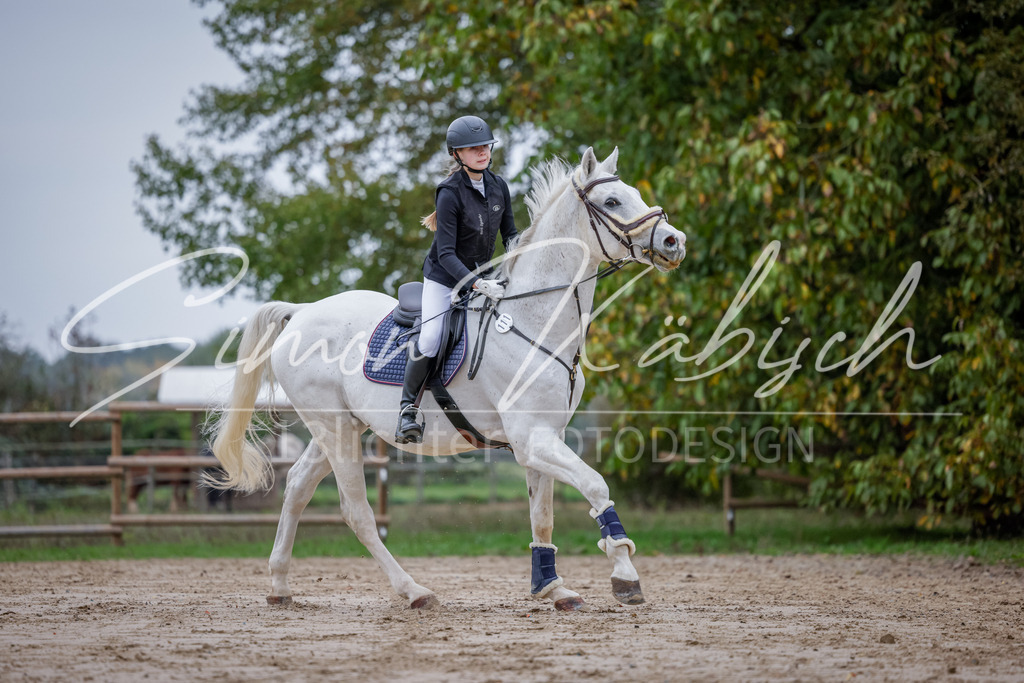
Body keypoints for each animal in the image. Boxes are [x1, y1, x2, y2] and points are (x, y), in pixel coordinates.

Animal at [208, 147, 687, 611]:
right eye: (612, 201)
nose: (673, 241)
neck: (533, 322)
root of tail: (302, 312)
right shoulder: (532, 438)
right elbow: (595, 485)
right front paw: (624, 575)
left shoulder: (544, 438)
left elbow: (542, 516)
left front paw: (551, 588)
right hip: (335, 428)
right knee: (356, 512)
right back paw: (414, 591)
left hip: (340, 427)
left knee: (297, 487)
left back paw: (280, 586)